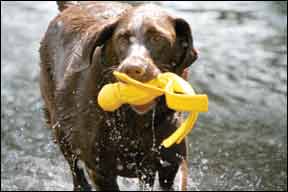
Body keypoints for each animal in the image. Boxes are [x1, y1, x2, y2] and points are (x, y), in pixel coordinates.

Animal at [40, 1, 198, 190]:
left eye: (157, 38)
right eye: (122, 38)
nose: (132, 68)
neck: (136, 121)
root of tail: (72, 6)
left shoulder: (172, 162)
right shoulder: (100, 170)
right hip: (61, 132)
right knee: (76, 172)